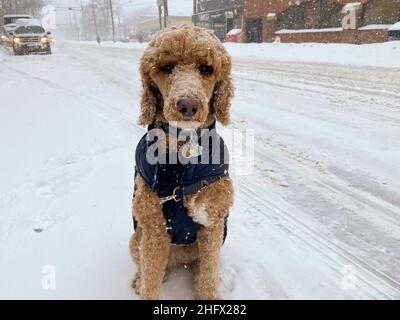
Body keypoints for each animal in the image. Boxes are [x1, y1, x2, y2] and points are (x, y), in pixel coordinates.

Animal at [128, 24, 234, 300]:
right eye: (167, 67)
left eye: (206, 68)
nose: (188, 105)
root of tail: (178, 260)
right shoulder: (153, 229)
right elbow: (151, 281)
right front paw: (146, 286)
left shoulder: (212, 224)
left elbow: (208, 276)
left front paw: (210, 295)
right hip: (136, 239)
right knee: (145, 267)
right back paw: (138, 279)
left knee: (203, 267)